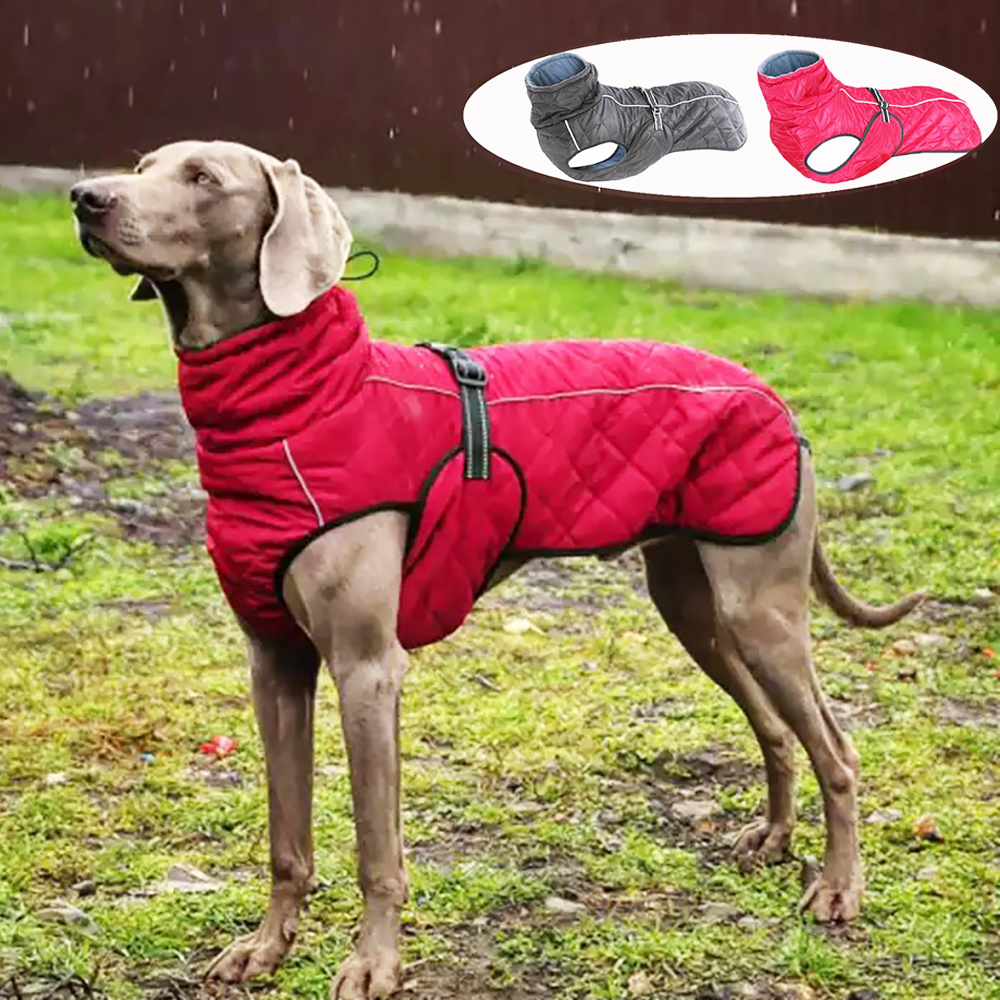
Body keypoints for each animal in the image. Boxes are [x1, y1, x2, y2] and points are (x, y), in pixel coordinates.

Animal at [72, 143, 920, 1000]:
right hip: (695, 607)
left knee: (838, 752)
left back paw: (839, 889)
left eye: (203, 179)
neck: (299, 407)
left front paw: (375, 963)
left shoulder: (367, 668)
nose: (84, 197)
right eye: (143, 166)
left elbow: (377, 850)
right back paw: (775, 839)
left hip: (760, 610)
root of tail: (775, 396)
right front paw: (266, 948)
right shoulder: (274, 662)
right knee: (776, 728)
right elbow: (287, 839)